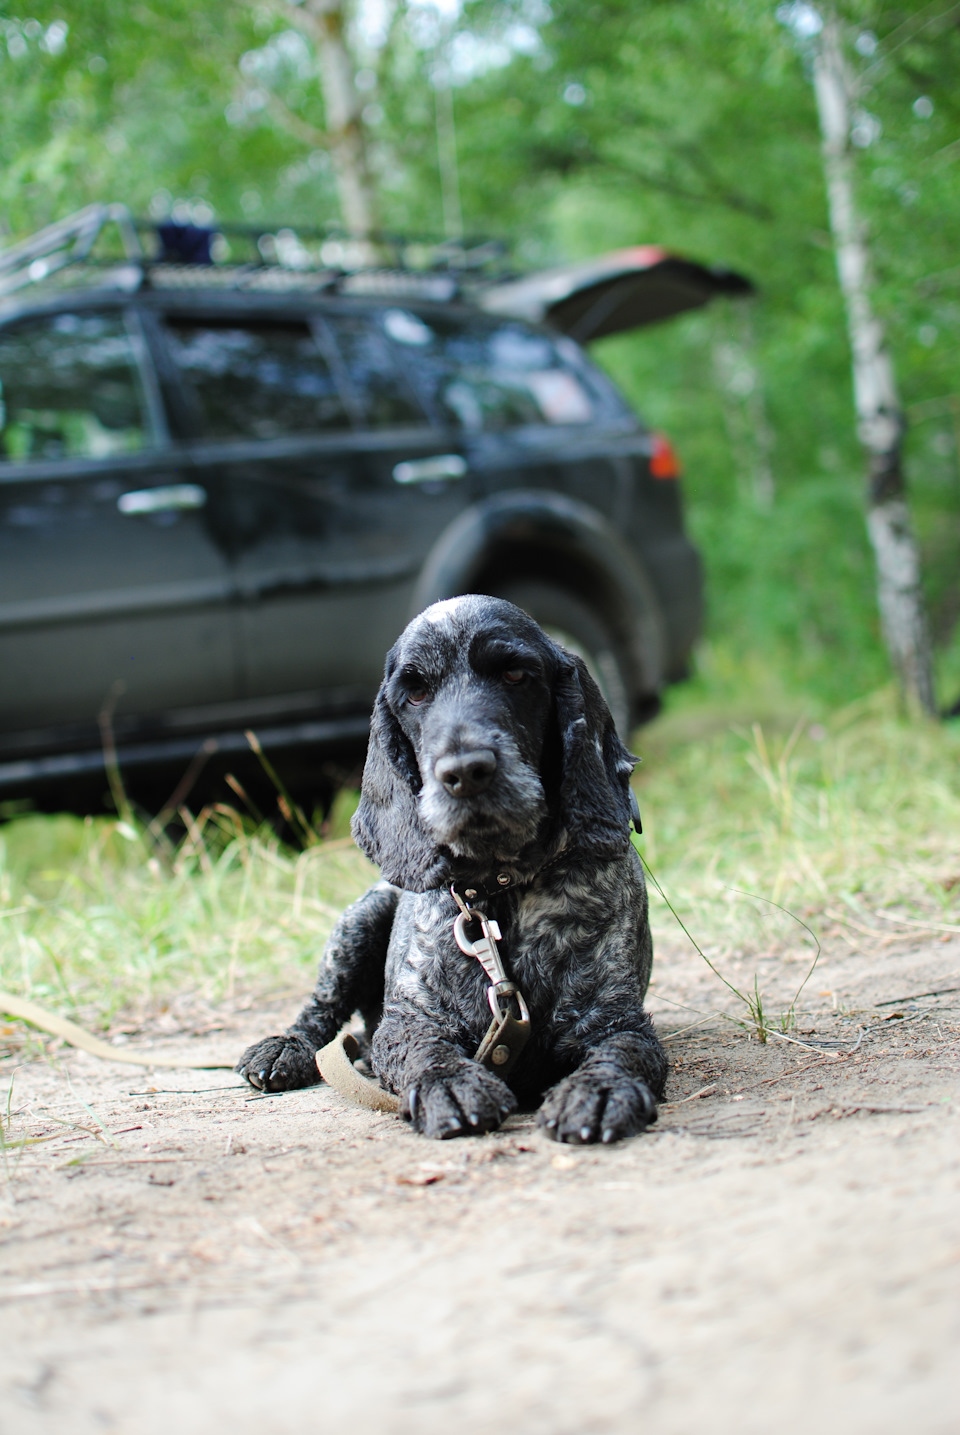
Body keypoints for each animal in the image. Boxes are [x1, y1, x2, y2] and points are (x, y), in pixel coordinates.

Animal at [233, 594, 665, 1142]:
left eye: (515, 675)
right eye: (415, 693)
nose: (465, 772)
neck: (502, 892)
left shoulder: (615, 1020)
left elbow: (622, 1052)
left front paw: (600, 1090)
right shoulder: (411, 1021)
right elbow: (425, 1051)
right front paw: (451, 1085)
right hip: (360, 919)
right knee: (322, 1010)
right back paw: (285, 1048)